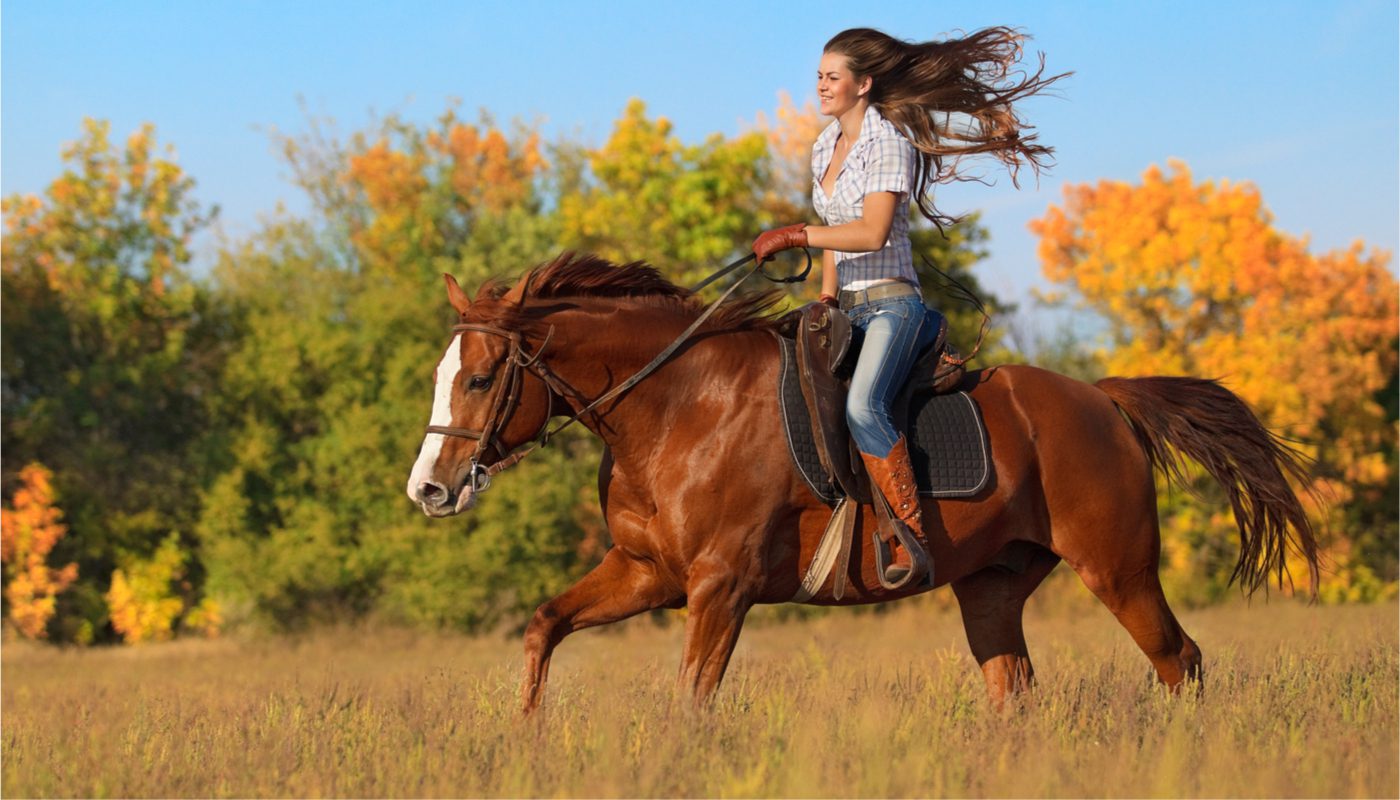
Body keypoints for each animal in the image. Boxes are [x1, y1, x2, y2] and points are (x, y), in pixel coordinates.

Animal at [406, 252, 1321, 714]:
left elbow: (691, 699)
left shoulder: (720, 586)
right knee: (1014, 690)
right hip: (992, 588)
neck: (677, 408)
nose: (429, 491)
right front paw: (527, 738)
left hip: (1119, 571)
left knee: (1180, 663)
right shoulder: (646, 574)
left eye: (481, 378)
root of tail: (1104, 397)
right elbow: (543, 628)